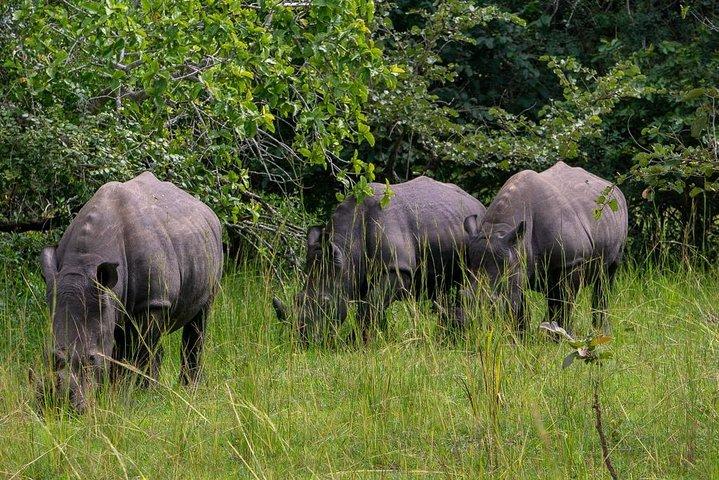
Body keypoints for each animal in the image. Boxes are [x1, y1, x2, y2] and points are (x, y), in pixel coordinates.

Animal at [37, 172, 223, 412]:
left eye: (92, 358)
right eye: (47, 356)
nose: (61, 406)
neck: (84, 262)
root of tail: (205, 208)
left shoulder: (150, 302)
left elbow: (135, 353)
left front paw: (127, 398)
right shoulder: (107, 299)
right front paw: (111, 395)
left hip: (211, 250)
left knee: (199, 317)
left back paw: (185, 388)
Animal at [272, 176, 486, 342]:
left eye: (325, 304)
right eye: (296, 299)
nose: (304, 339)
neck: (347, 248)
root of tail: (476, 201)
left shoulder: (395, 269)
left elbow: (371, 306)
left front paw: (354, 344)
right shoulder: (357, 273)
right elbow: (371, 308)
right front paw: (372, 339)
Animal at [462, 161, 628, 332]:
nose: (477, 317)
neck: (500, 228)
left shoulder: (571, 261)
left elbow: (564, 302)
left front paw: (562, 334)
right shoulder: (519, 261)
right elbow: (519, 307)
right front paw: (522, 336)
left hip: (617, 210)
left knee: (606, 275)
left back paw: (600, 331)